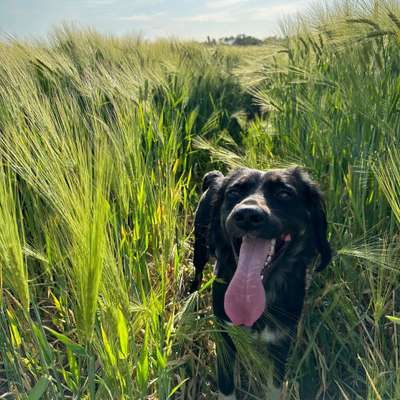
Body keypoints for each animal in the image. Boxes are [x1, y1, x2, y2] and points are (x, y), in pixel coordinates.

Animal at [191, 166, 332, 400]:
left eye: (284, 193)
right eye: (234, 193)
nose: (247, 215)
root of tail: (216, 176)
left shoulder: (281, 342)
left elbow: (274, 385)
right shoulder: (225, 336)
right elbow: (226, 384)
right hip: (200, 247)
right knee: (197, 273)